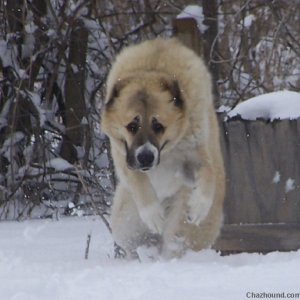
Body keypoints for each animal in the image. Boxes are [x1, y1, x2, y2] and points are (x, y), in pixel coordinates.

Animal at [101, 37, 225, 258]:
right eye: (131, 126)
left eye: (158, 126)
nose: (145, 157)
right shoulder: (123, 157)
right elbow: (137, 179)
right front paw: (152, 213)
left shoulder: (195, 155)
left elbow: (208, 170)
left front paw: (199, 205)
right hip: (125, 224)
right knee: (134, 246)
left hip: (180, 226)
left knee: (175, 243)